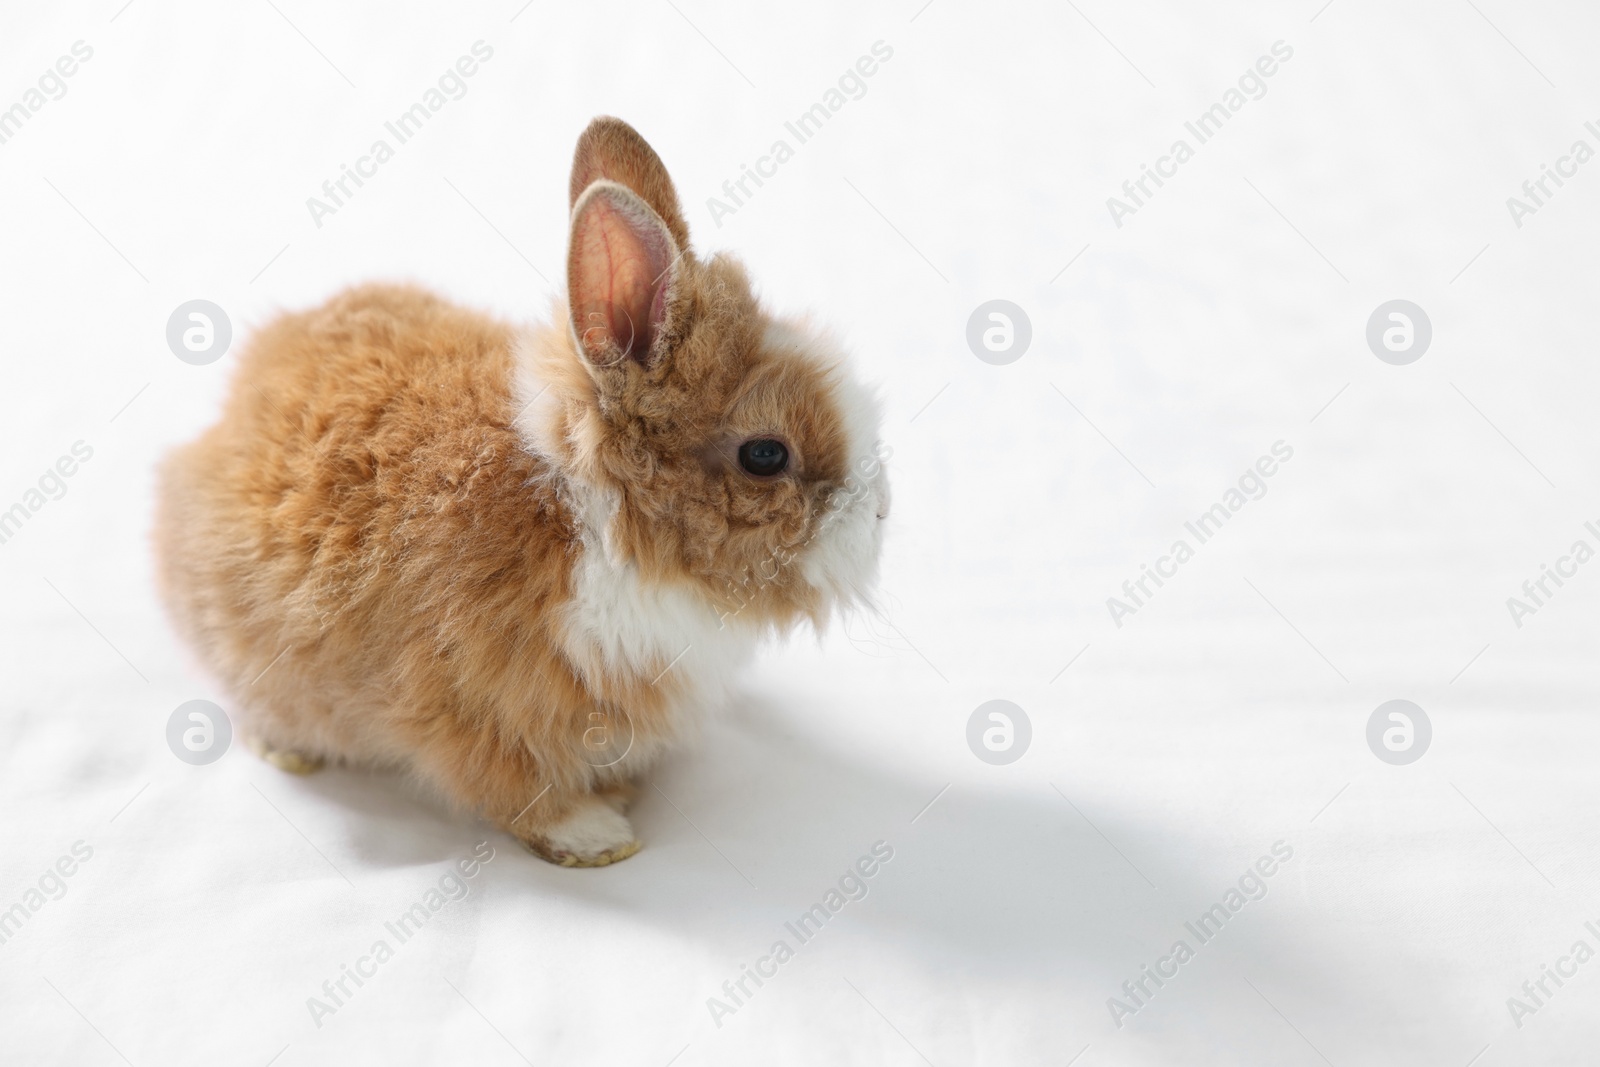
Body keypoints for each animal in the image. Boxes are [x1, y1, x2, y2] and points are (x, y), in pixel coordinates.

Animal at [152, 116, 889, 870]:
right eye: (765, 455)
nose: (880, 513)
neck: (591, 518)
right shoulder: (475, 705)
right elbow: (519, 787)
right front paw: (599, 837)